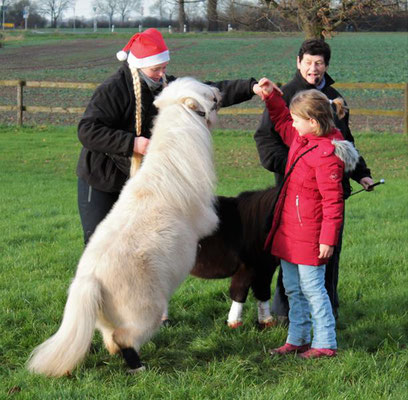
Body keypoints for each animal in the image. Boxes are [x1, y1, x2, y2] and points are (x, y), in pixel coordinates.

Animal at [27, 76, 223, 376]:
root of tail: (89, 281)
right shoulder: (205, 218)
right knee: (125, 339)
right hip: (144, 312)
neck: (171, 162)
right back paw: (138, 367)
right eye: (206, 96)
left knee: (110, 338)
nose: (218, 91)